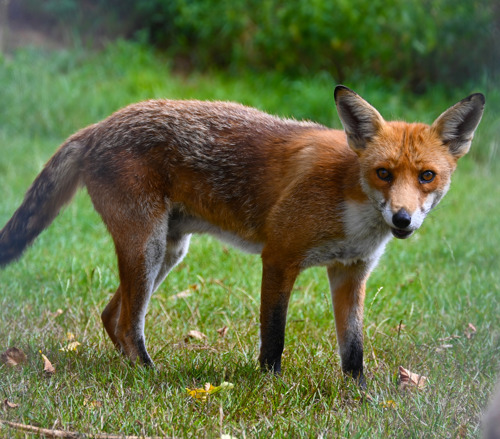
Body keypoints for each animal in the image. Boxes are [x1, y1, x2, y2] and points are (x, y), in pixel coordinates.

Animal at [0, 87, 484, 388]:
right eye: (384, 173)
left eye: (426, 176)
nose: (402, 219)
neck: (350, 198)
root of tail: (96, 127)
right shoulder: (280, 257)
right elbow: (274, 336)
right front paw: (270, 386)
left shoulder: (350, 272)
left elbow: (353, 348)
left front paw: (361, 394)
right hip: (148, 248)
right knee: (126, 322)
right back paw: (148, 374)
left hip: (168, 252)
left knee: (109, 315)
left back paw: (129, 369)